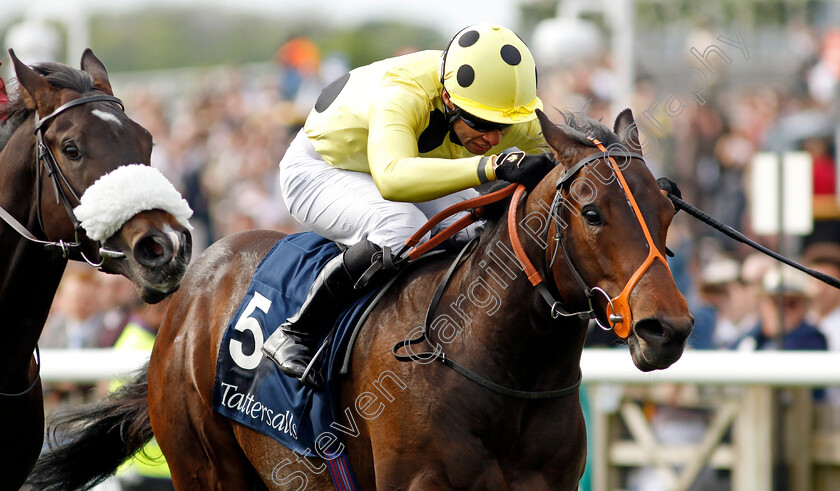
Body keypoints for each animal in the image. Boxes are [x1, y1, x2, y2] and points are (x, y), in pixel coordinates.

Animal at [29, 109, 692, 490]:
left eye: (667, 210)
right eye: (593, 212)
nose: (668, 329)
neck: (501, 371)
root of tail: (195, 285)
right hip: (205, 468)